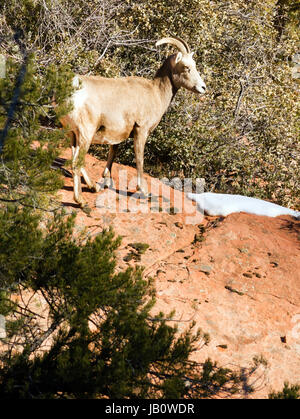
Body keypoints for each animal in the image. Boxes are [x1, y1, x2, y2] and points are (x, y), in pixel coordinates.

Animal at [61, 37, 206, 208]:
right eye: (186, 67)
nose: (203, 87)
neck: (155, 93)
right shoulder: (140, 131)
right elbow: (139, 159)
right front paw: (143, 191)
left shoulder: (116, 136)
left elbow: (112, 155)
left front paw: (105, 183)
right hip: (86, 134)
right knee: (77, 163)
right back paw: (81, 201)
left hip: (72, 135)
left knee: (74, 159)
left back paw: (93, 187)